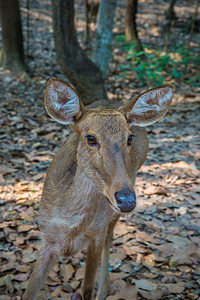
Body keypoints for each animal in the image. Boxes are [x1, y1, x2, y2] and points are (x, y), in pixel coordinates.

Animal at [23, 78, 173, 298]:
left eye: (129, 138)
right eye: (91, 138)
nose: (126, 199)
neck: (70, 227)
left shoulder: (97, 234)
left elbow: (86, 289)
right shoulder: (46, 238)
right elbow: (29, 291)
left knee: (110, 239)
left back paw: (104, 289)